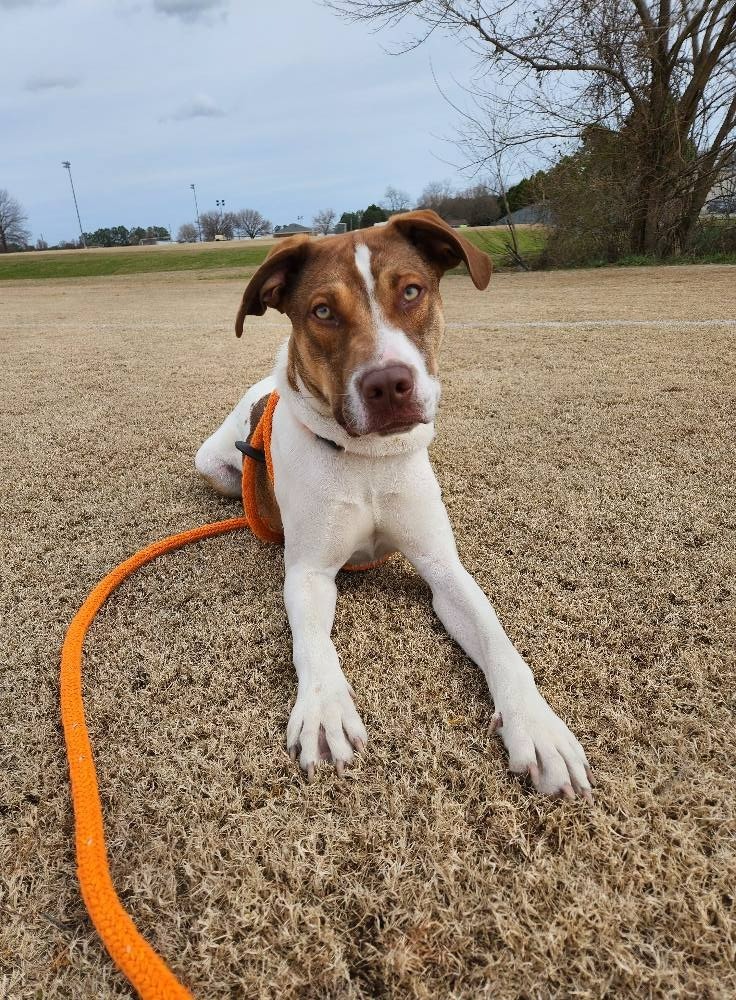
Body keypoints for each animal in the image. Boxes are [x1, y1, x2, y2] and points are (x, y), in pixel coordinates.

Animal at [194, 213, 592, 804]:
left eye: (411, 291)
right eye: (323, 311)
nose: (387, 383)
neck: (367, 459)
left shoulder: (444, 569)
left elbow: (497, 639)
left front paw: (539, 727)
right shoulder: (309, 571)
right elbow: (313, 644)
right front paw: (324, 710)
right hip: (213, 468)